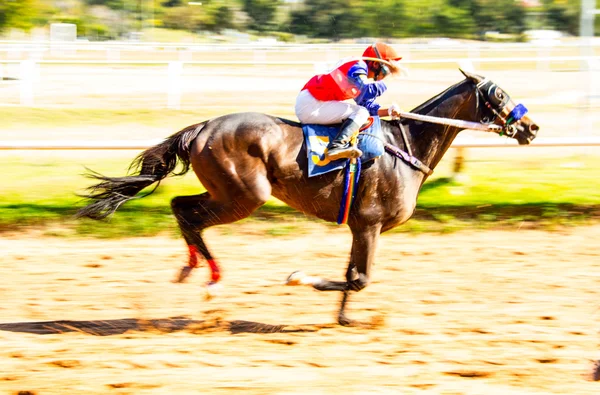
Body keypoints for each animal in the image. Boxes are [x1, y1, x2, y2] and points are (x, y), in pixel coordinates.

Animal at [76, 69, 540, 326]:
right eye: (498, 95)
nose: (531, 127)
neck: (404, 144)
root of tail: (202, 127)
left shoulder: (360, 226)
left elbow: (353, 276)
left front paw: (344, 318)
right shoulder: (370, 223)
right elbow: (359, 277)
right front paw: (300, 278)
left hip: (226, 191)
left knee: (180, 208)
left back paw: (193, 269)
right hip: (246, 195)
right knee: (188, 214)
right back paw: (210, 279)